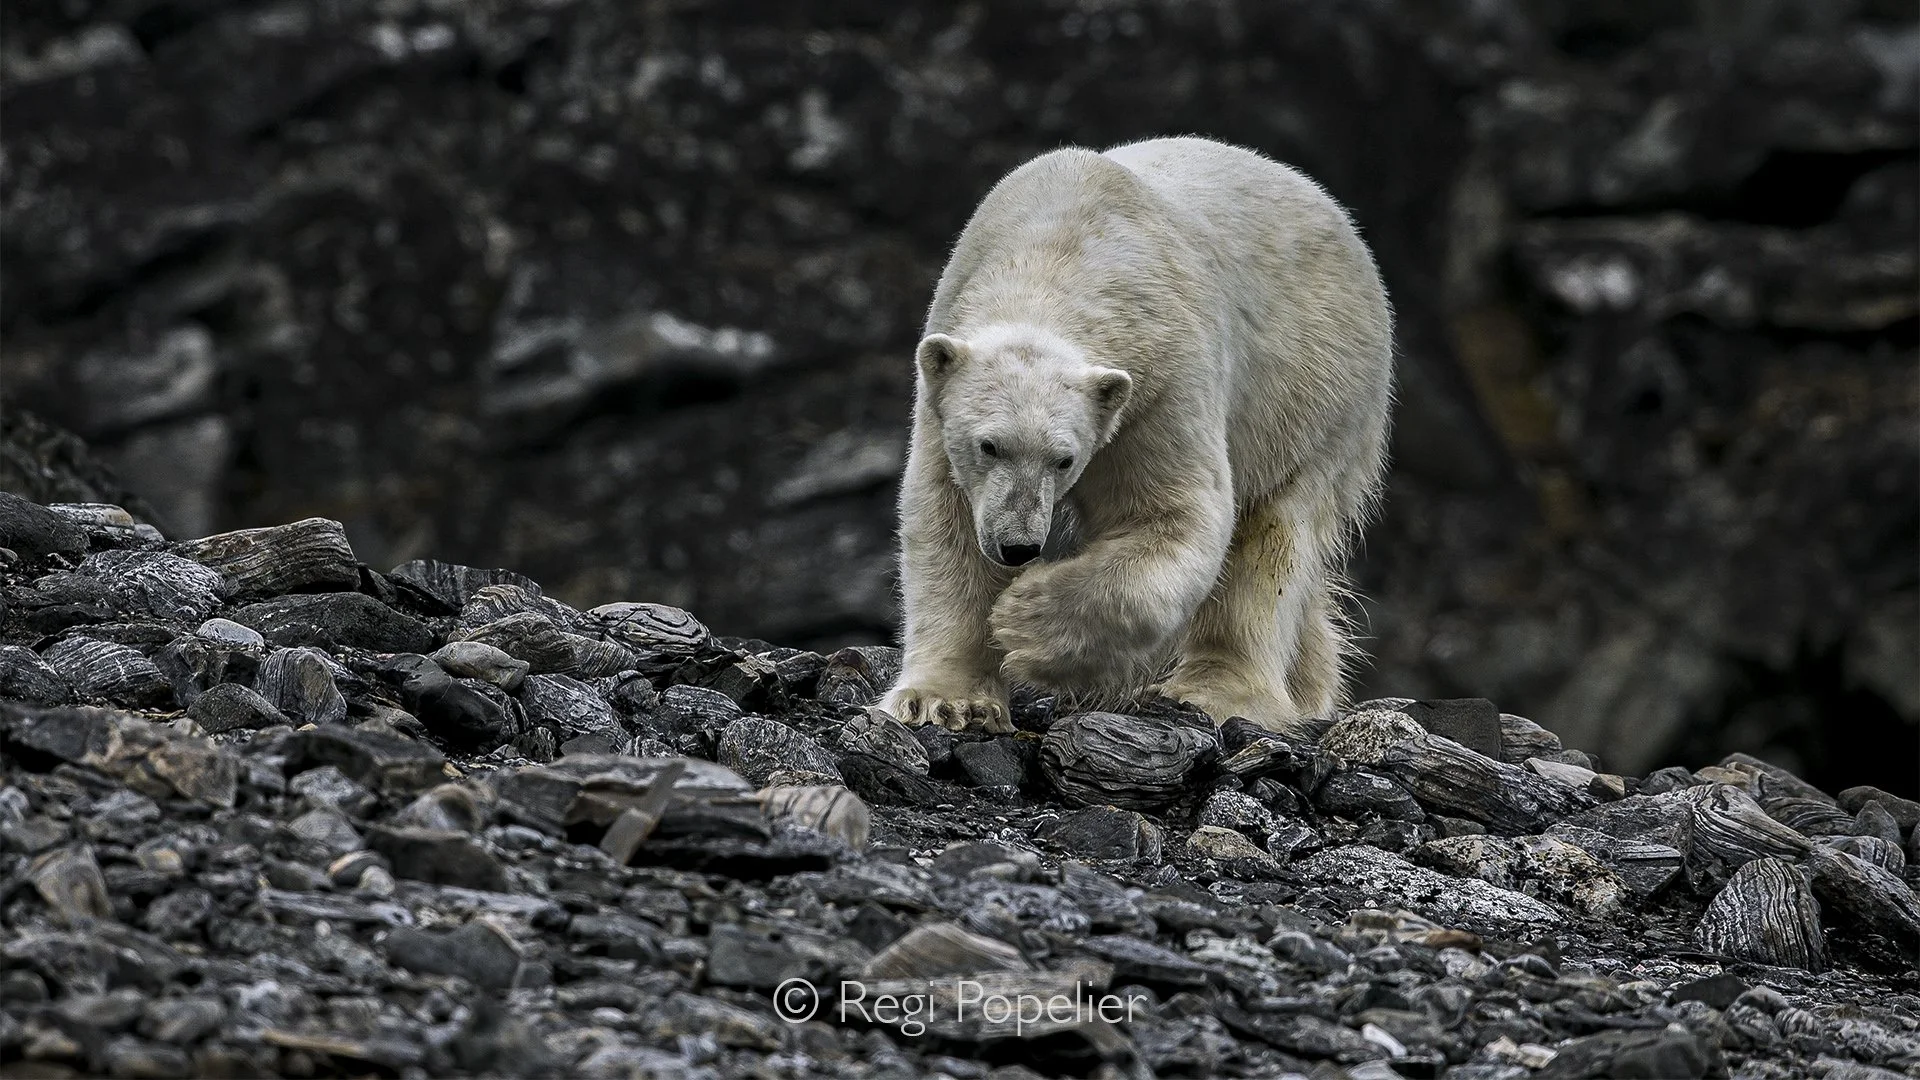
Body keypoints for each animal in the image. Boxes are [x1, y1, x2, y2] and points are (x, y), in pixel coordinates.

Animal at [880, 136, 1394, 736]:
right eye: (989, 445)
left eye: (1063, 459)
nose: (1018, 547)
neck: (1059, 251)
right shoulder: (945, 382)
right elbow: (948, 522)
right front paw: (946, 701)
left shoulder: (1162, 378)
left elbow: (1173, 516)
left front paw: (1026, 621)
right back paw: (1310, 687)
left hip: (1315, 391)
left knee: (1273, 533)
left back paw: (1219, 690)